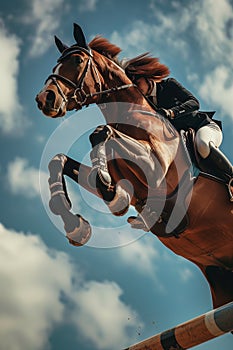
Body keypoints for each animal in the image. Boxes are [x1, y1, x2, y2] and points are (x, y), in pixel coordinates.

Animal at [35, 23, 233, 308]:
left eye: (78, 60)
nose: (45, 99)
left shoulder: (158, 171)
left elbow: (100, 132)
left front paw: (108, 191)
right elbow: (59, 160)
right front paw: (78, 224)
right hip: (221, 279)